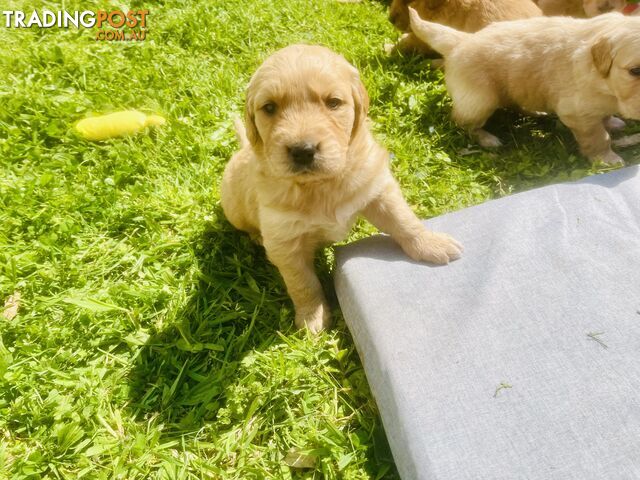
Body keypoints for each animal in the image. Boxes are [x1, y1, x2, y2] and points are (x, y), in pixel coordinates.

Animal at [222, 45, 462, 334]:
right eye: (269, 107)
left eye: (333, 102)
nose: (303, 150)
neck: (320, 185)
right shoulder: (284, 242)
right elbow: (302, 282)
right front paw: (312, 316)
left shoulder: (377, 187)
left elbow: (404, 220)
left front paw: (431, 244)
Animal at [408, 9, 640, 165]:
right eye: (635, 71)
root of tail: (461, 40)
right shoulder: (577, 112)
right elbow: (598, 137)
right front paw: (607, 159)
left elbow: (604, 116)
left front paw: (612, 122)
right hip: (480, 101)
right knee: (461, 121)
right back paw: (487, 139)